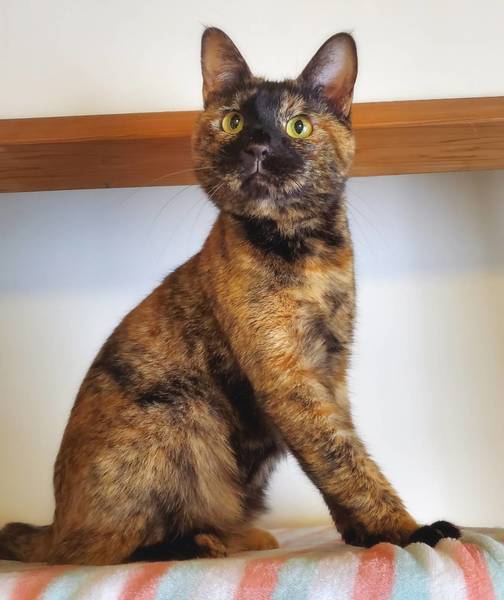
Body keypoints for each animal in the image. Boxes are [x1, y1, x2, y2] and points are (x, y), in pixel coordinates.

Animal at [0, 28, 460, 565]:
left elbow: (339, 453)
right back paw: (206, 542)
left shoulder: (331, 371)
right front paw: (406, 530)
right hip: (182, 413)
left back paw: (243, 537)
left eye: (298, 126)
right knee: (104, 549)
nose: (258, 146)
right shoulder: (287, 380)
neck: (310, 257)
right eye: (233, 121)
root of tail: (53, 525)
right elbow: (345, 461)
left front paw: (364, 535)